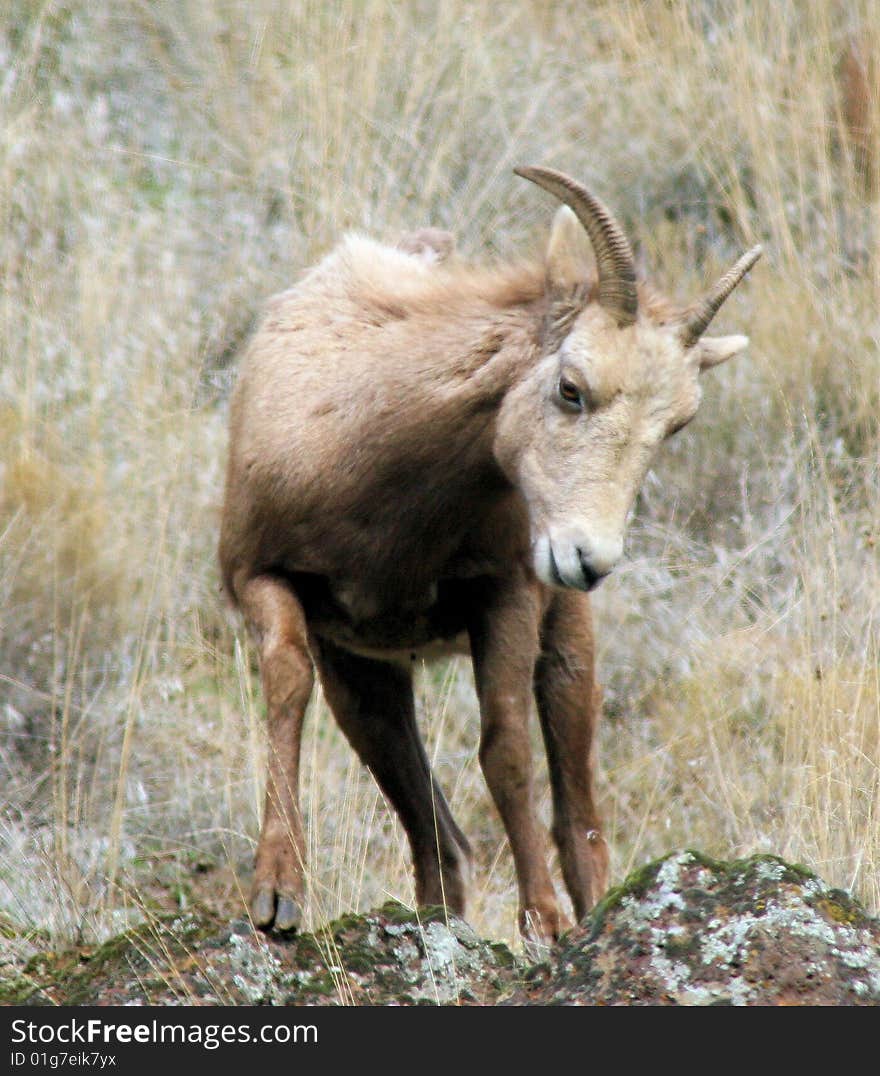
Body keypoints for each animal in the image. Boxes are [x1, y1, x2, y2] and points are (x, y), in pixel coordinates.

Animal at [216, 163, 757, 938]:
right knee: (438, 841)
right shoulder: (265, 581)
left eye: (676, 425)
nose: (588, 559)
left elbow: (505, 749)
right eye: (571, 388)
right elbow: (288, 690)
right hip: (370, 687)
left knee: (577, 827)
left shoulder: (505, 596)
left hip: (564, 648)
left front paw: (543, 923)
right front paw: (277, 896)